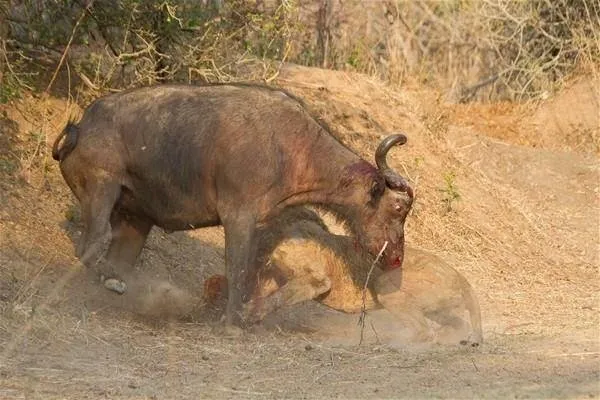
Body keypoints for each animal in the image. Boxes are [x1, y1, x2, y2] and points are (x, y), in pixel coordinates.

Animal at [52, 83, 412, 326]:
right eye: (398, 209)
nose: (396, 257)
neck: (294, 148)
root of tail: (81, 126)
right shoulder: (238, 220)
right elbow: (236, 270)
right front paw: (233, 322)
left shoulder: (261, 229)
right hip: (102, 192)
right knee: (91, 243)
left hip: (135, 222)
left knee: (118, 261)